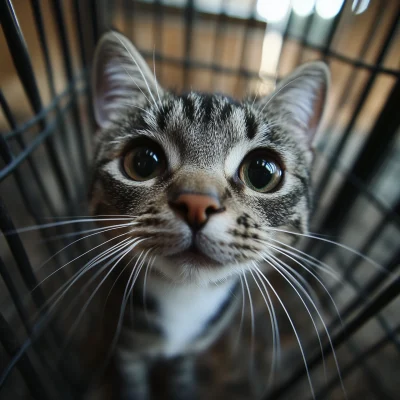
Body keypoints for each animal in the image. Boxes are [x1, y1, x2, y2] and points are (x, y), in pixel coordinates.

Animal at [89, 31, 330, 400]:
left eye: (261, 172)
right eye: (142, 162)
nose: (197, 203)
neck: (185, 302)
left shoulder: (191, 350)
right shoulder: (127, 351)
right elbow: (132, 385)